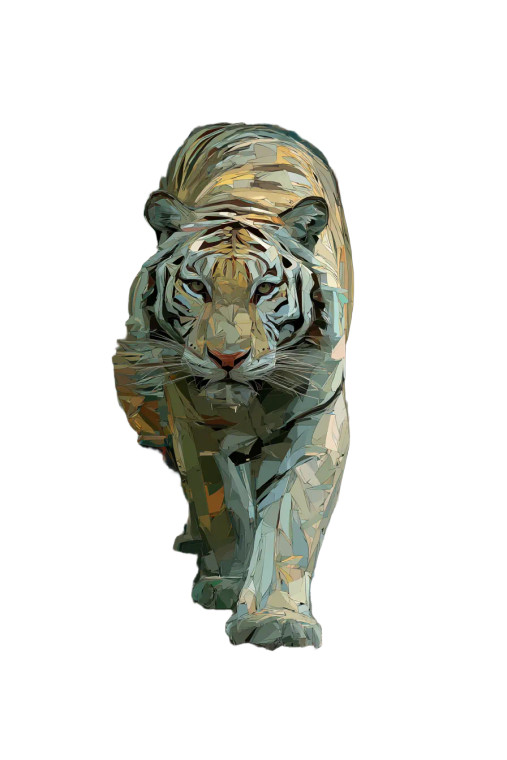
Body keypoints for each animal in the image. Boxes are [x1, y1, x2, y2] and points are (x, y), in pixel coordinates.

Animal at [113, 123, 353, 649]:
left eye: (264, 289)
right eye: (196, 288)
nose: (227, 358)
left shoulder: (319, 418)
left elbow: (289, 520)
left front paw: (279, 620)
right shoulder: (192, 421)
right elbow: (222, 504)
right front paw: (226, 583)